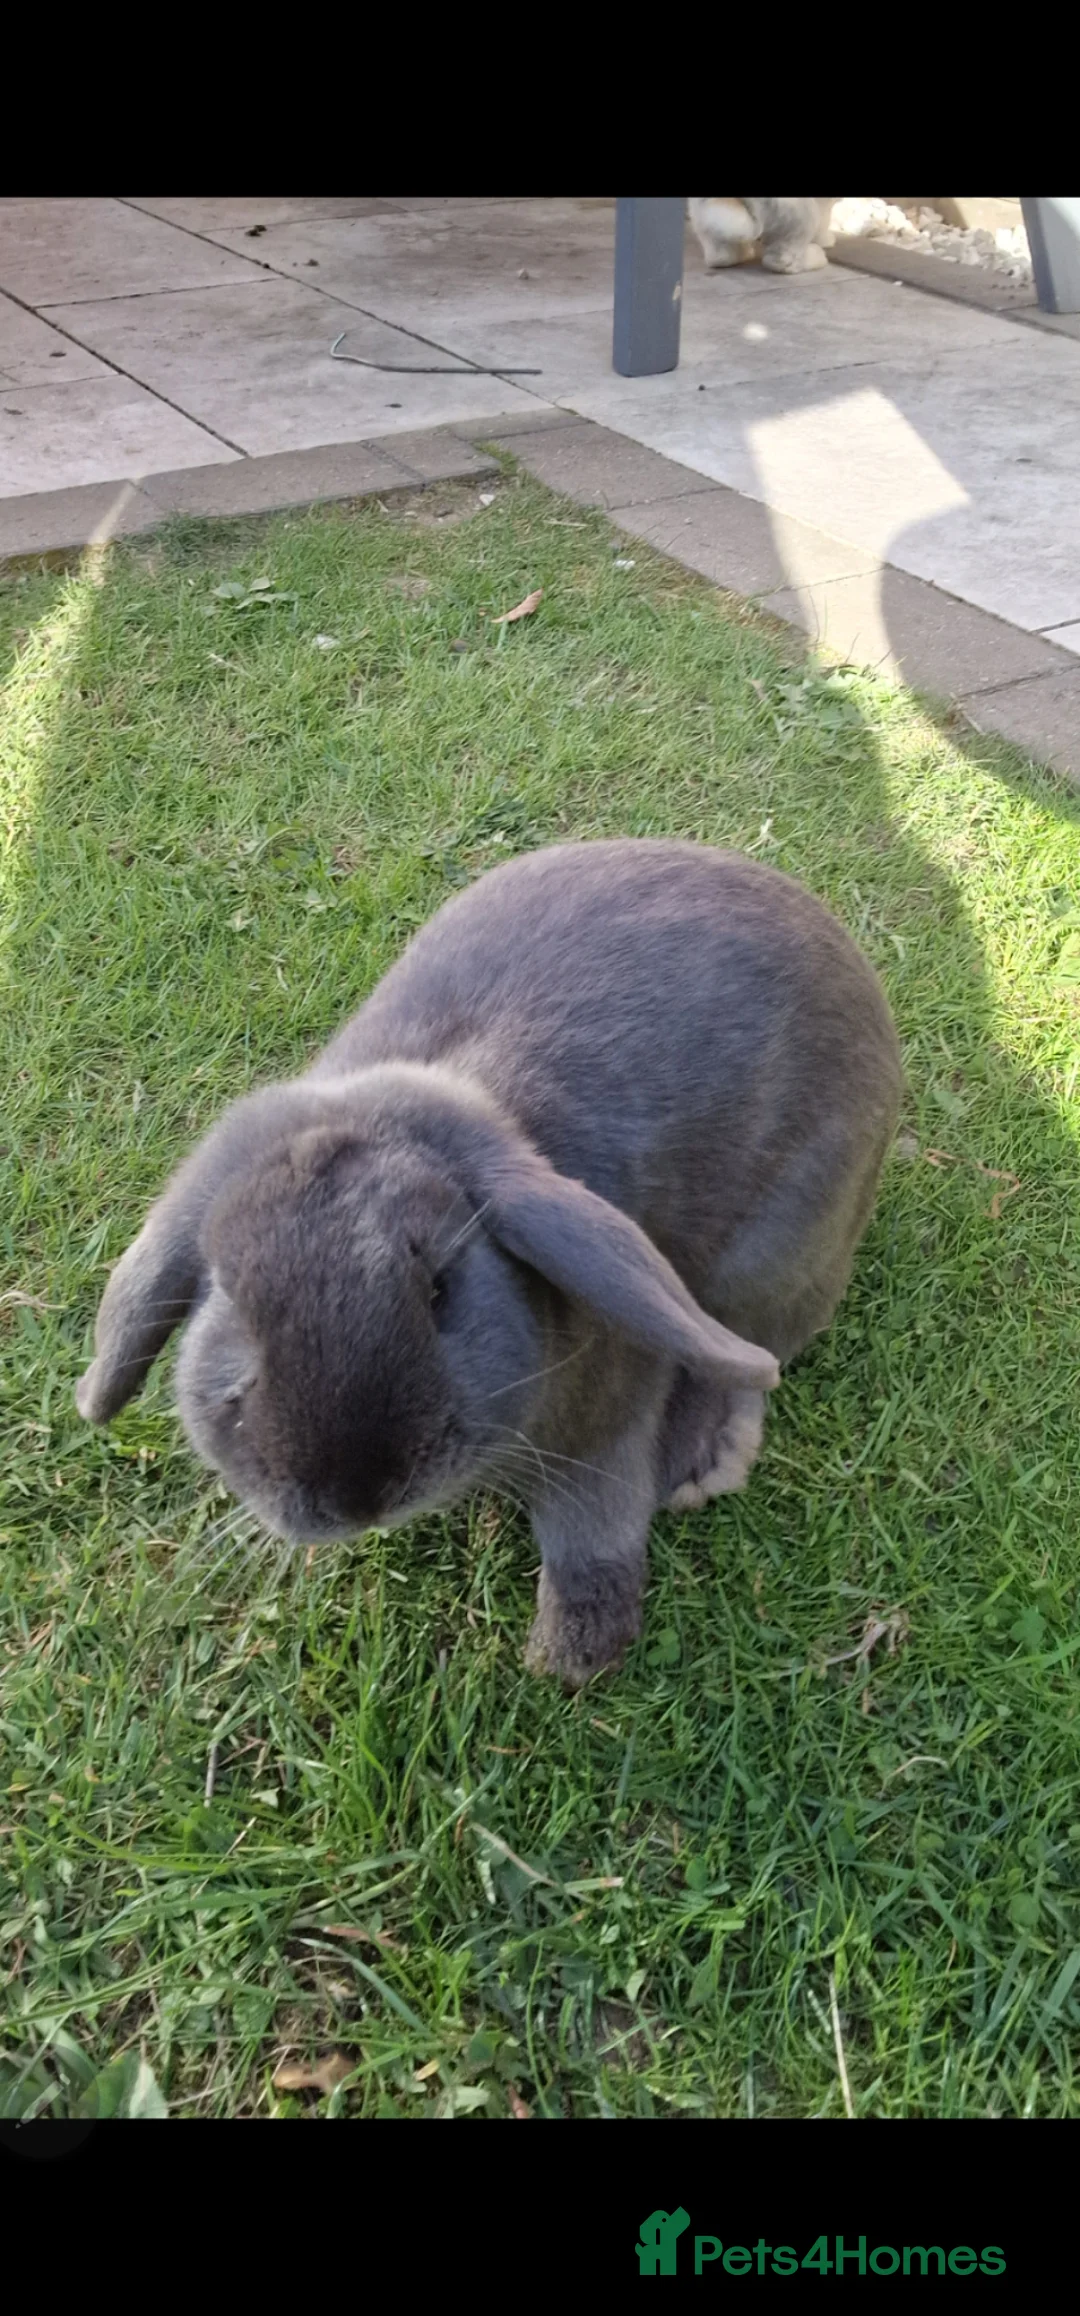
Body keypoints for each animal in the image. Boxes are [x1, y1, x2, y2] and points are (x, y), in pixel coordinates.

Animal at [76, 839, 902, 1690]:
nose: (360, 1495)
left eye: (440, 1289)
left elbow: (593, 1526)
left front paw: (571, 1655)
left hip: (776, 1258)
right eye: (233, 1307)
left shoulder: (603, 1431)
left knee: (750, 1353)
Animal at [689, 198, 838, 275]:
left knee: (719, 256)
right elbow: (826, 217)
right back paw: (818, 257)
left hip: (701, 214)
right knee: (781, 260)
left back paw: (744, 254)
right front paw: (826, 240)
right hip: (802, 214)